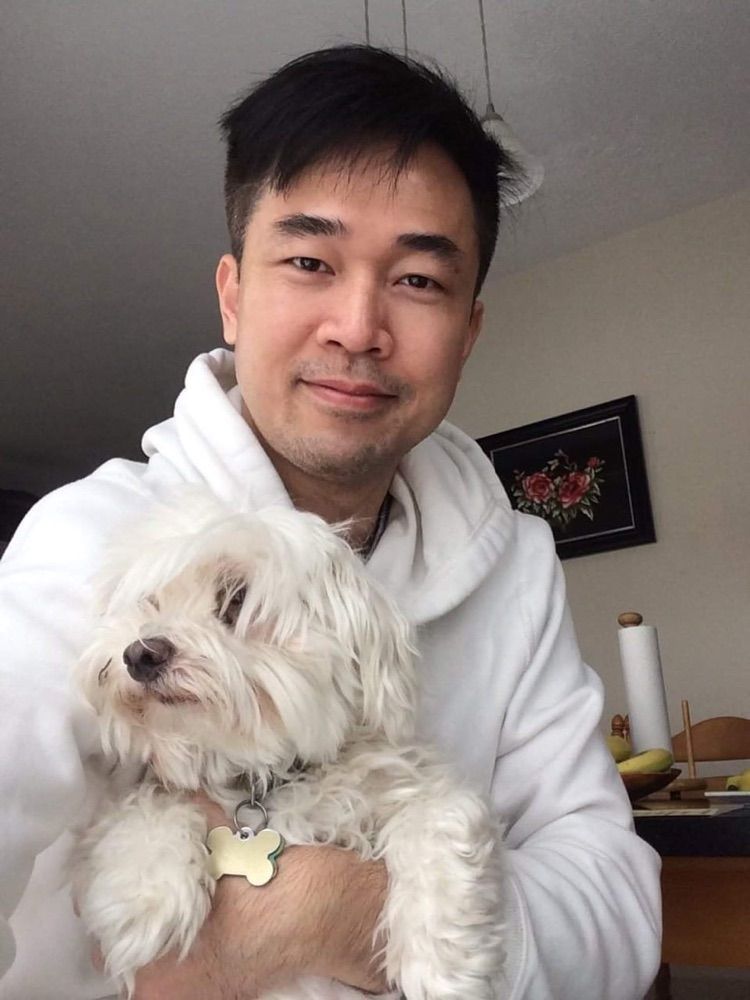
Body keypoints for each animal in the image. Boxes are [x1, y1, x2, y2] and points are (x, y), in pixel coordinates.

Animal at [72, 490, 505, 999]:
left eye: (236, 600)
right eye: (150, 600)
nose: (139, 654)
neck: (263, 775)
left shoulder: (418, 787)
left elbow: (438, 826)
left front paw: (441, 964)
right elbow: (141, 807)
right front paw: (145, 895)